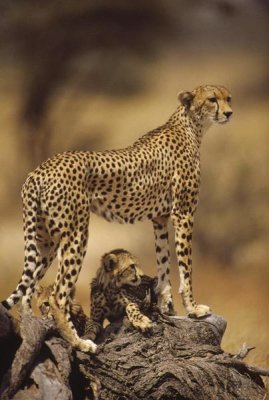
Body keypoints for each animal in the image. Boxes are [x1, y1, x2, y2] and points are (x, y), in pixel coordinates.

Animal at [1, 83, 231, 350]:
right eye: (212, 99)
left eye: (228, 98)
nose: (229, 113)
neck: (192, 126)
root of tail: (37, 171)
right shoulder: (183, 214)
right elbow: (186, 267)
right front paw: (193, 308)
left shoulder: (160, 219)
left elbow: (163, 263)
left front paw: (167, 308)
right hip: (76, 234)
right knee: (59, 294)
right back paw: (79, 342)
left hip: (45, 240)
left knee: (28, 290)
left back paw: (33, 331)